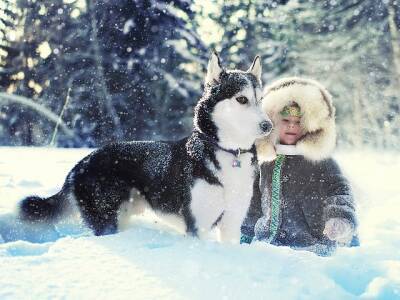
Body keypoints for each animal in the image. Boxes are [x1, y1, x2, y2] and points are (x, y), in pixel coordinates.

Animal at [20, 52, 274, 241]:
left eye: (261, 100)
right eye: (241, 99)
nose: (268, 125)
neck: (228, 152)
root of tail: (79, 165)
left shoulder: (232, 224)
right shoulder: (197, 227)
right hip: (107, 220)